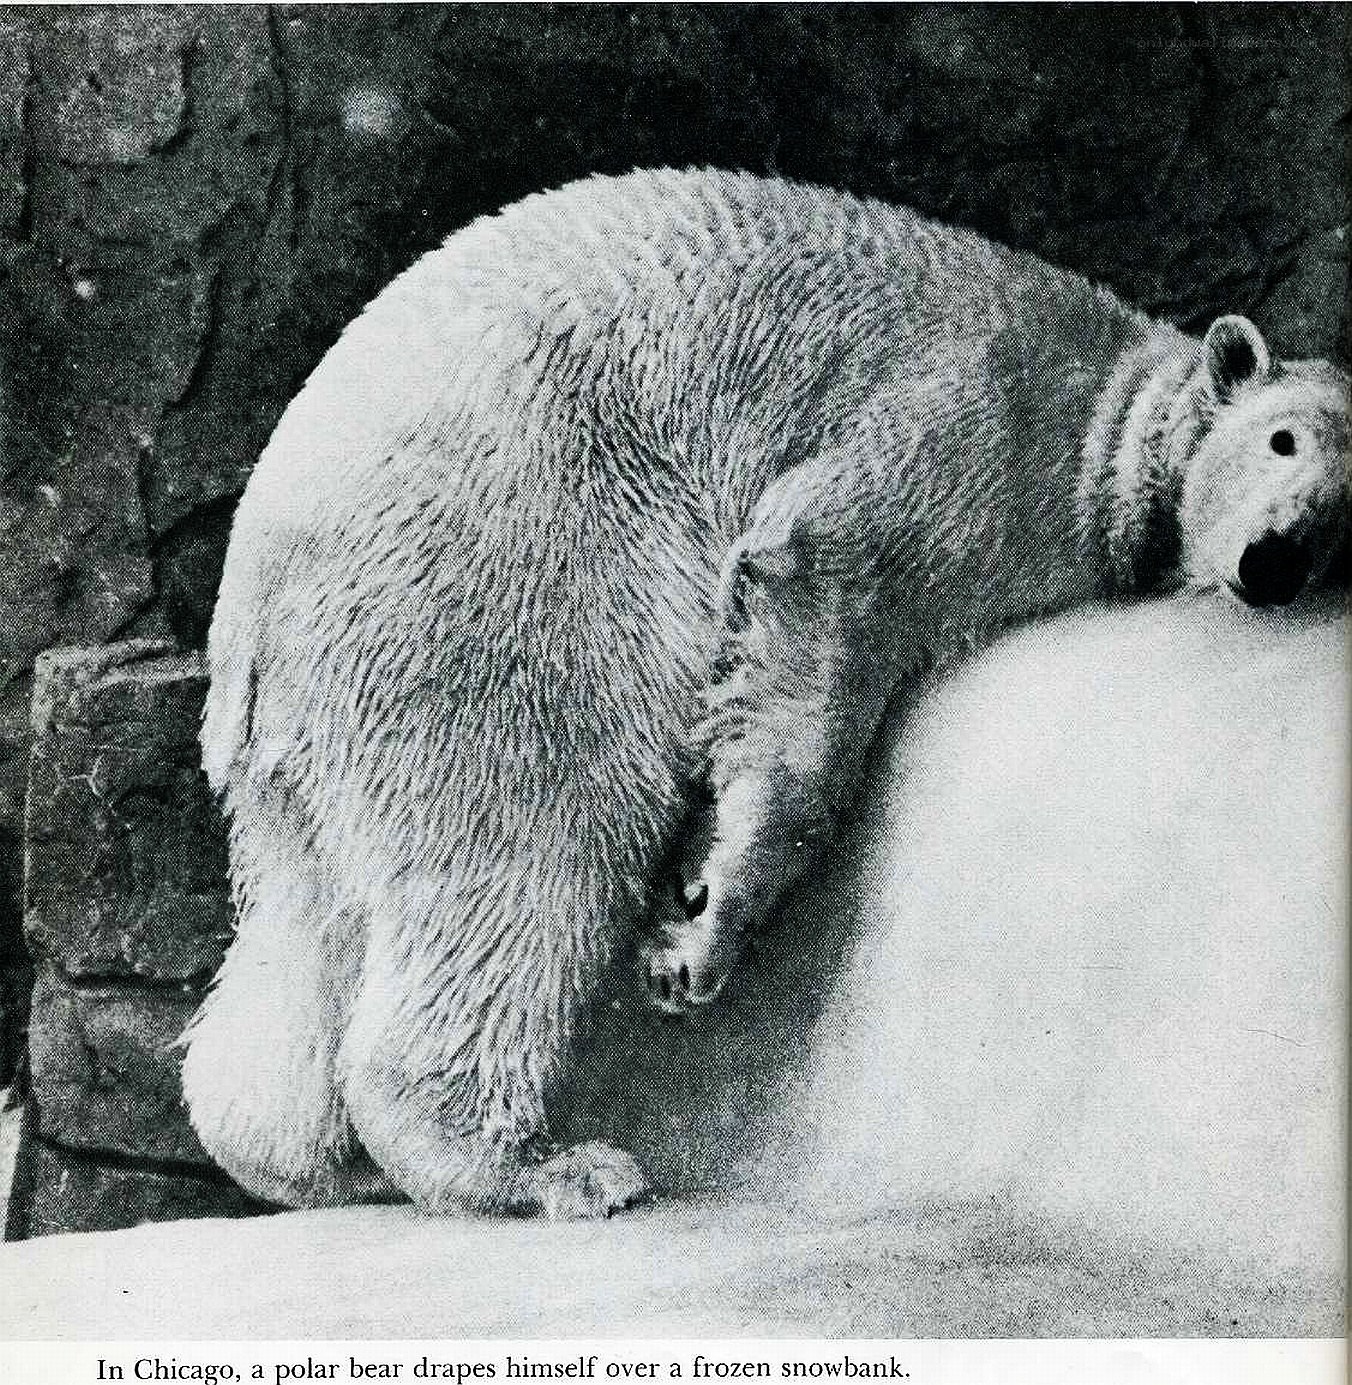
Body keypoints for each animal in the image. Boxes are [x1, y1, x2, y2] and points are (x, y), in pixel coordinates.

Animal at [180, 167, 1349, 1219]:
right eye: (1281, 438)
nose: (1275, 558)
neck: (1118, 406)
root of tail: (256, 579)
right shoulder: (977, 420)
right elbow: (828, 564)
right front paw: (700, 928)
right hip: (493, 583)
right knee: (533, 837)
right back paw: (543, 1167)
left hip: (326, 704)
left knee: (314, 910)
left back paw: (315, 1157)